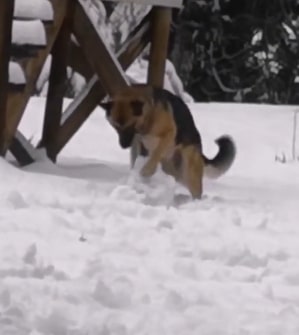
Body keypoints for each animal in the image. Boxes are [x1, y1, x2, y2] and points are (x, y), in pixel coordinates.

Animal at [101, 84, 237, 200]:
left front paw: (147, 170)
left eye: (130, 125)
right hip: (176, 172)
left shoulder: (169, 133)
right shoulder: (139, 142)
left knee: (196, 192)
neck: (150, 114)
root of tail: (200, 150)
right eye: (115, 127)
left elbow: (157, 152)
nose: (123, 145)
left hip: (189, 172)